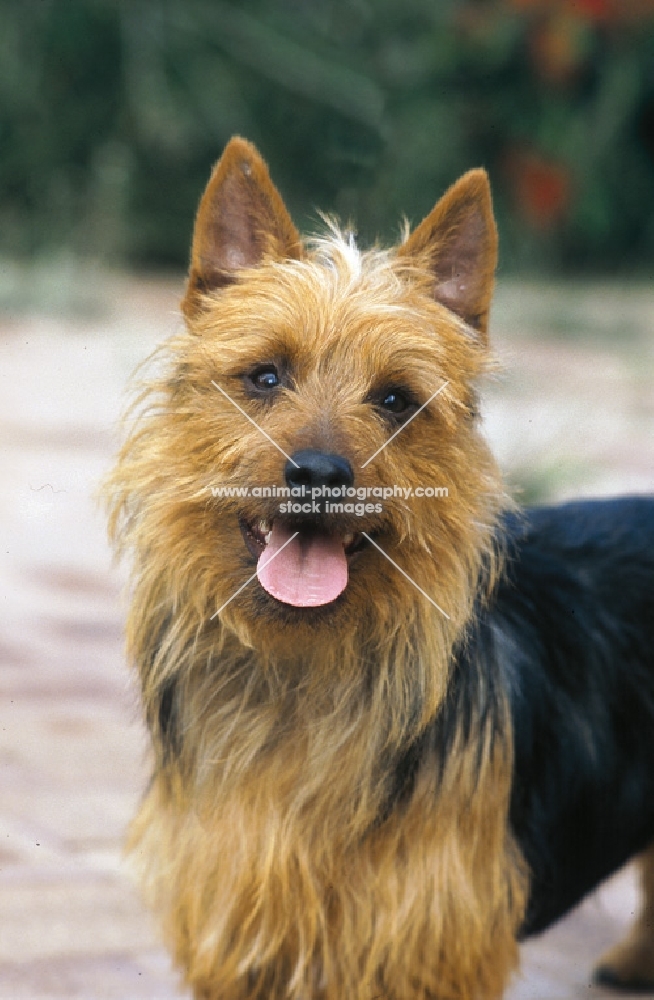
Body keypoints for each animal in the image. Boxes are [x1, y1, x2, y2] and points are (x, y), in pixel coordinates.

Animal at [107, 137, 654, 996]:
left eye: (396, 398)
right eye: (265, 376)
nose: (319, 472)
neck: (304, 674)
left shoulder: (427, 939)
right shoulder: (237, 924)